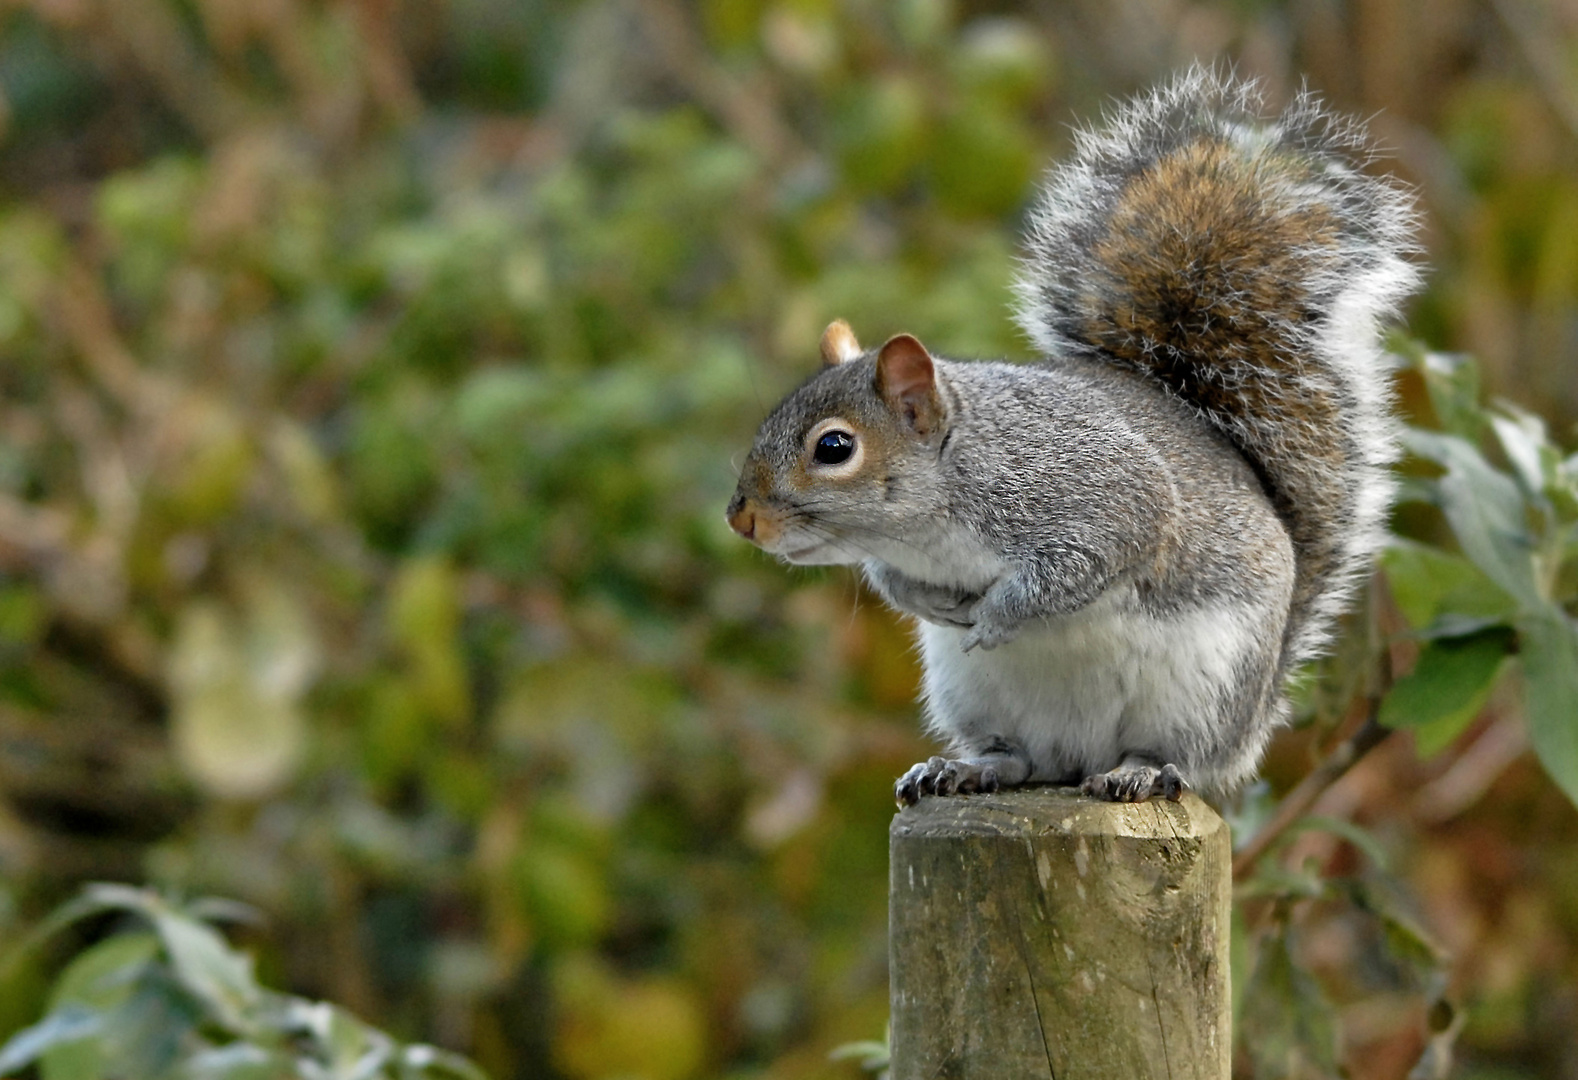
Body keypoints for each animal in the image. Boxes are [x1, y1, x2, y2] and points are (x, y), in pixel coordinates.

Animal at [722, 67, 1426, 805]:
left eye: (834, 448)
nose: (741, 518)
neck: (935, 514)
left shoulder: (1094, 492)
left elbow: (1074, 567)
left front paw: (995, 615)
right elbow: (894, 583)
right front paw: (936, 606)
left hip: (1204, 696)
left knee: (1176, 757)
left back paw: (1138, 771)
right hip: (977, 699)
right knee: (1021, 759)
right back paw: (963, 766)